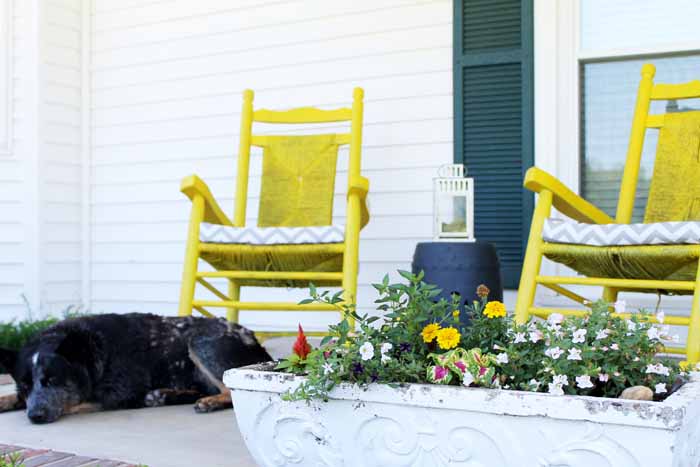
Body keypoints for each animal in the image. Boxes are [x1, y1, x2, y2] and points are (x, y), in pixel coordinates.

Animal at [0, 314, 270, 424]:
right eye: (24, 385)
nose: (35, 416)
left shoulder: (116, 394)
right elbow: (13, 397)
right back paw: (163, 395)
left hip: (200, 341)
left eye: (54, 380)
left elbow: (76, 402)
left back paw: (210, 401)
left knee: (229, 390)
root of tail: (254, 339)